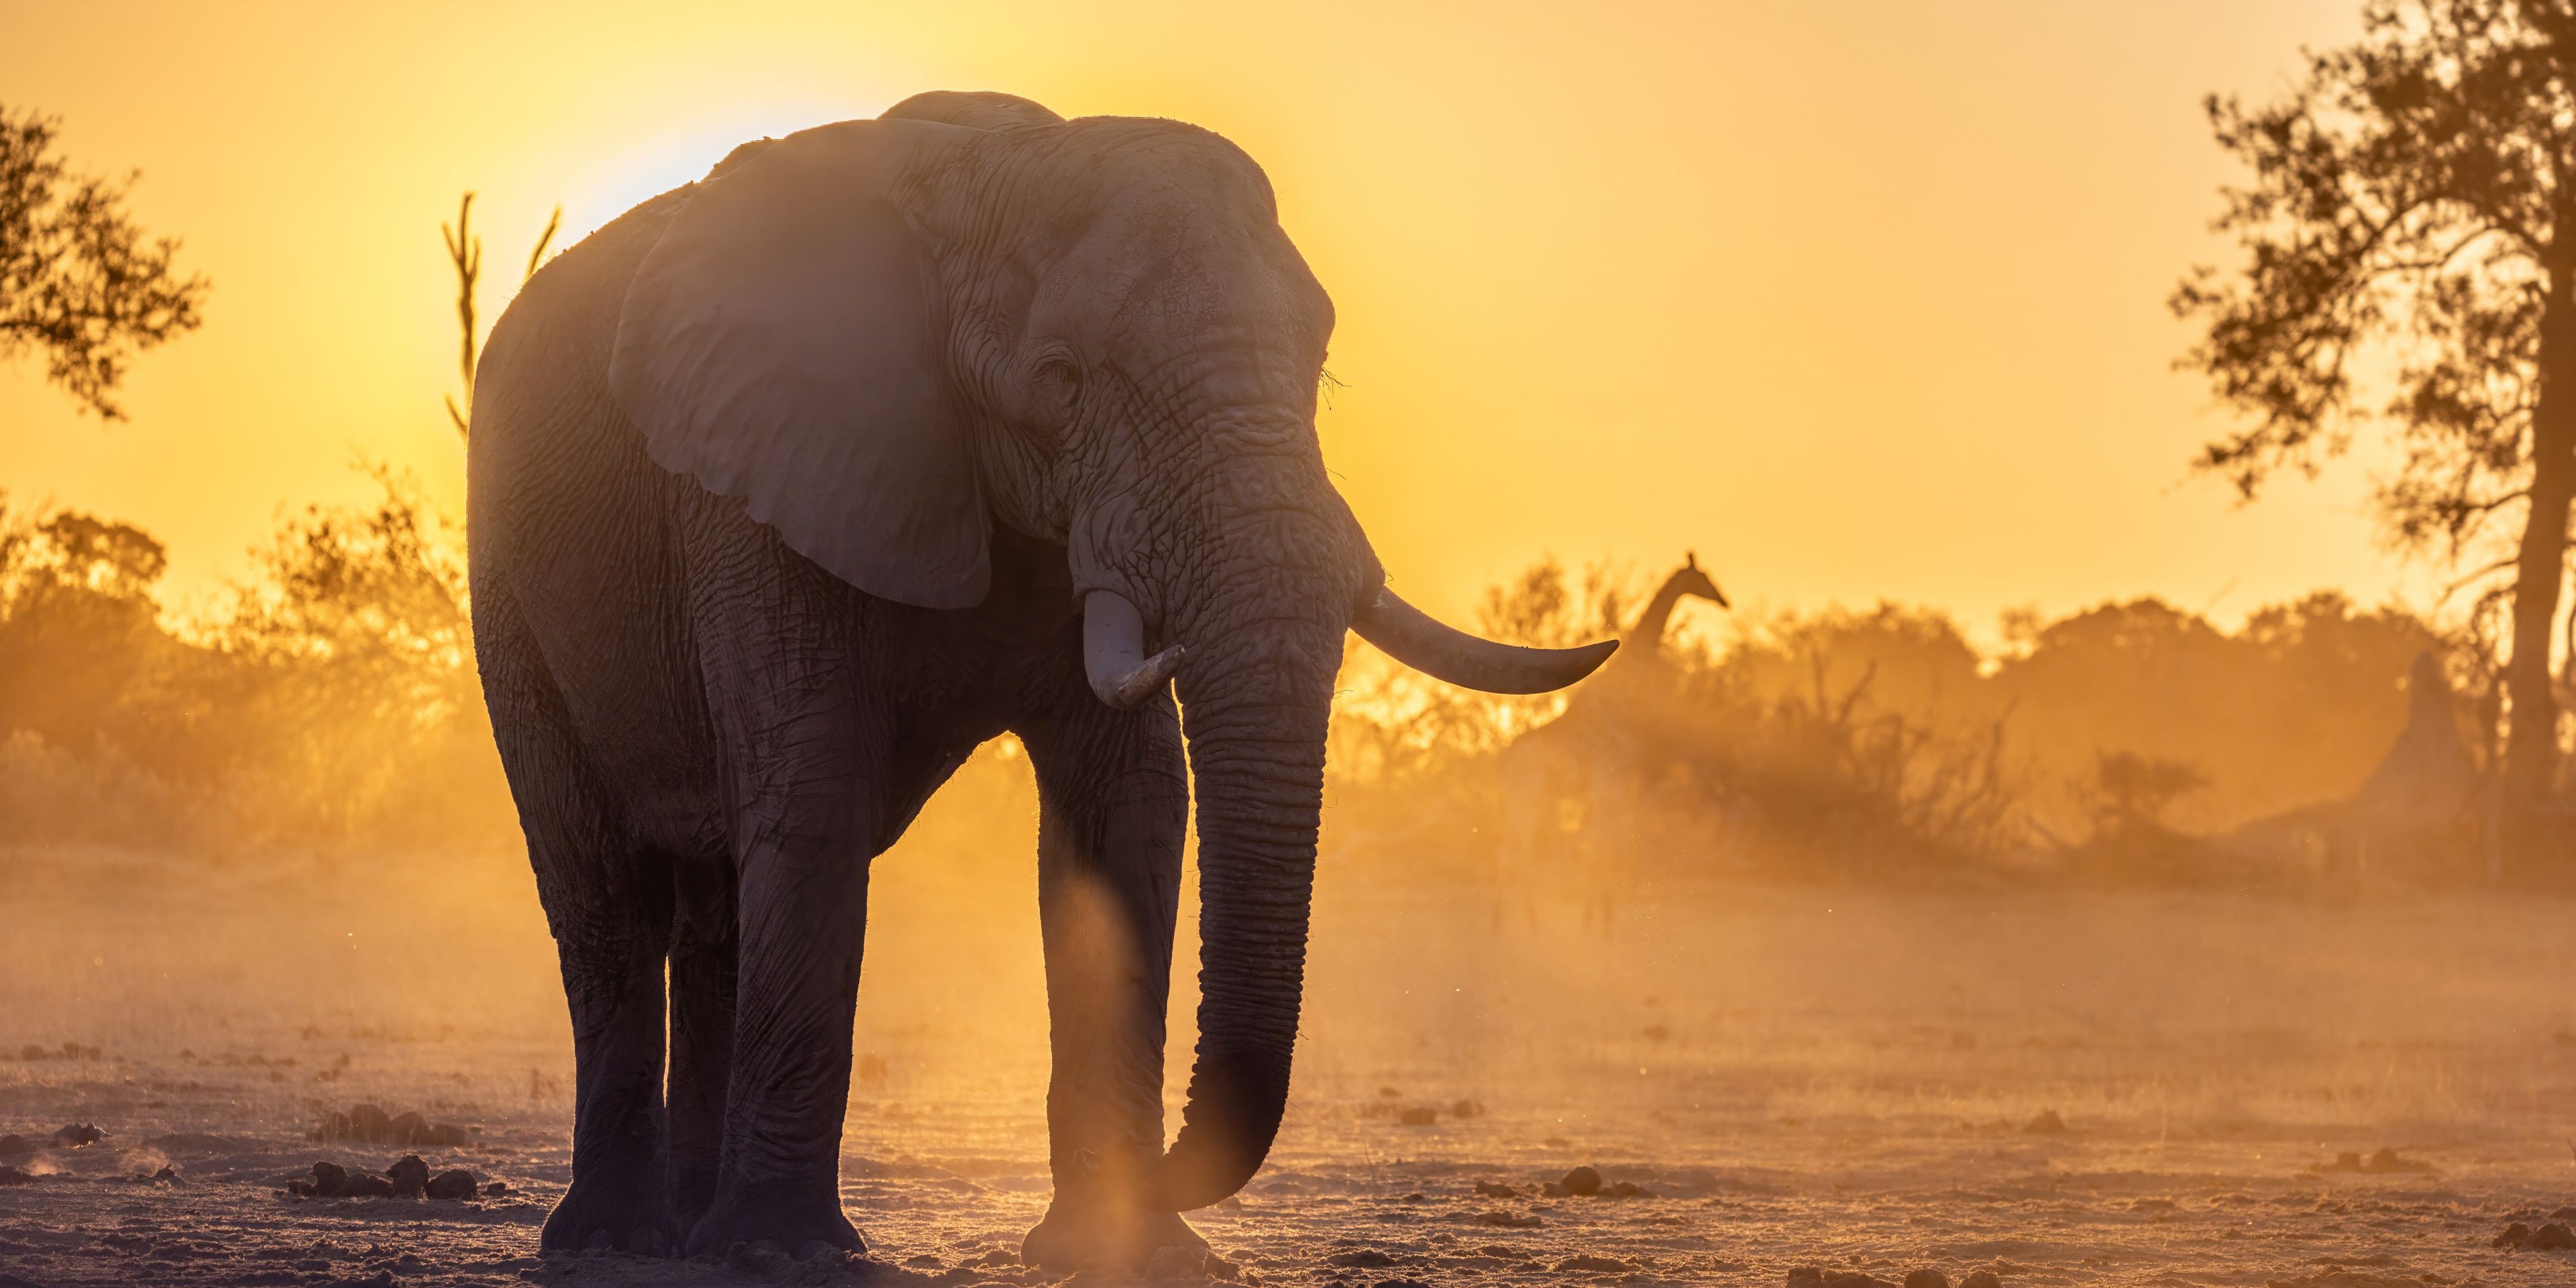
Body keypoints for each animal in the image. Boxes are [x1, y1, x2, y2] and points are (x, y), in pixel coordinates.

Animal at [466, 89, 1615, 1267]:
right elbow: (817, 796)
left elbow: (1129, 807)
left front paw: (1130, 1254)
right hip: (511, 588)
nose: (1165, 1163)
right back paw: (621, 1238)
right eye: (1061, 380)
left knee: (718, 911)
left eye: (1323, 366)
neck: (993, 167)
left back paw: (694, 1232)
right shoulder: (759, 491)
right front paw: (791, 1256)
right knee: (608, 902)